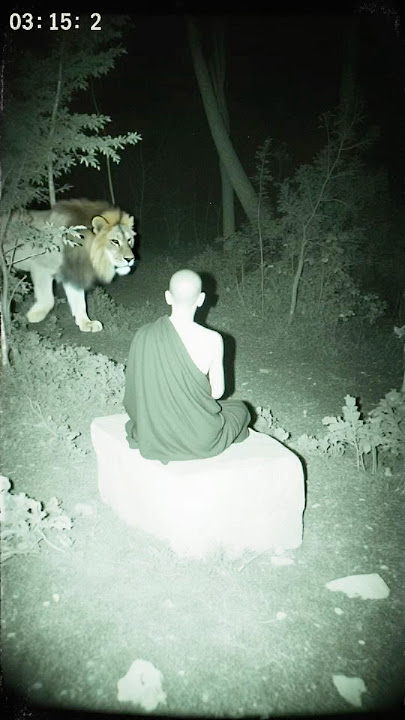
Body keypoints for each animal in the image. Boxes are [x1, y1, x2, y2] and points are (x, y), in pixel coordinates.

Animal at [3, 199, 136, 332]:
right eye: (115, 241)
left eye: (129, 240)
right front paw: (33, 316)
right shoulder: (41, 265)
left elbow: (79, 301)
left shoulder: (73, 272)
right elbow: (48, 299)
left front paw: (86, 323)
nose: (130, 259)